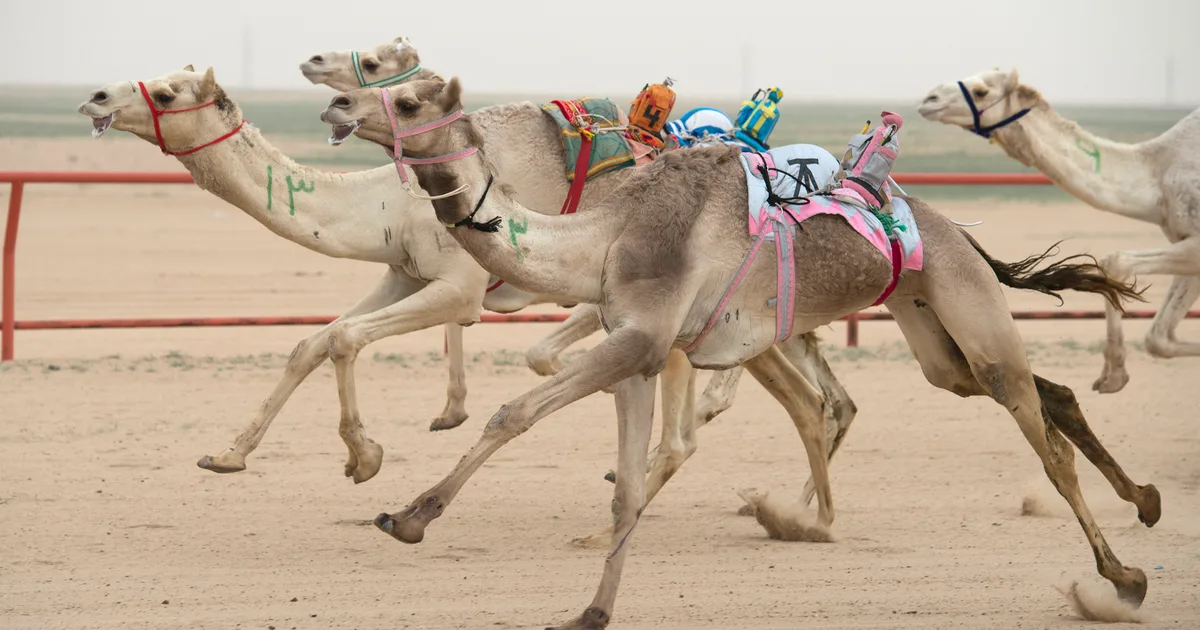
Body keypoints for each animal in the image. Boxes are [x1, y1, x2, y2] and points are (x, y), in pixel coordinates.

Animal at [321, 77, 1161, 628]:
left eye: (408, 98)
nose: (334, 105)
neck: (608, 233)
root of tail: (952, 228)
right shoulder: (640, 349)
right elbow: (627, 483)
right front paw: (590, 612)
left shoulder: (641, 337)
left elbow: (515, 412)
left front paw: (408, 515)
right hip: (931, 331)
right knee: (1031, 392)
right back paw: (1145, 503)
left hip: (968, 306)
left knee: (1043, 441)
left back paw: (1121, 578)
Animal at [918, 67, 1200, 394]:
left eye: (981, 91)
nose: (929, 99)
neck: (1157, 174)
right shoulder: (1186, 241)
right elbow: (1159, 339)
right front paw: (1112, 375)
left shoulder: (1195, 242)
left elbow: (1117, 262)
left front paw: (1114, 375)